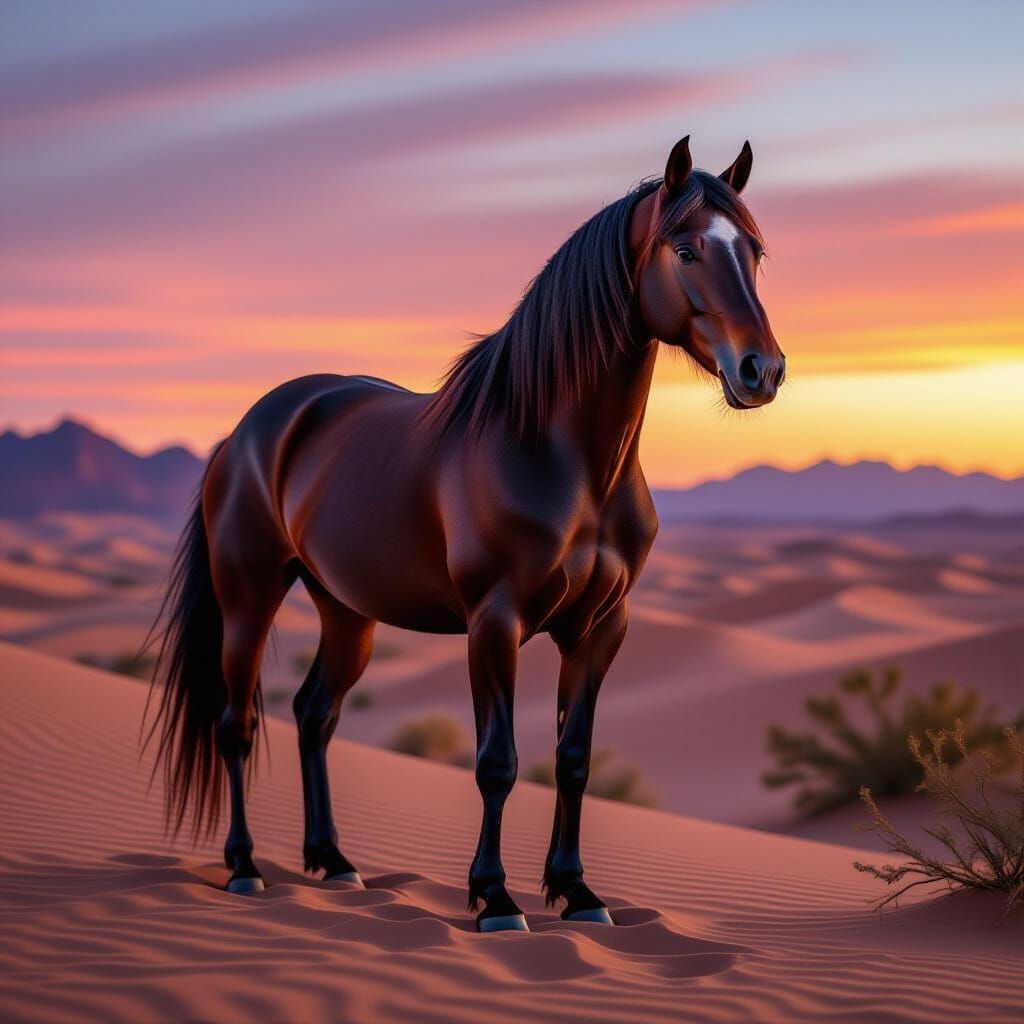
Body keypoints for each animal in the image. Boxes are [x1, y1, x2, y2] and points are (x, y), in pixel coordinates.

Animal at [148, 135, 785, 932]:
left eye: (755, 252)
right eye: (688, 248)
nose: (762, 371)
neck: (562, 457)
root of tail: (247, 432)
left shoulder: (602, 628)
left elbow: (573, 759)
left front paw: (577, 893)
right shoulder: (494, 623)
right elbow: (497, 762)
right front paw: (496, 899)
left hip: (346, 611)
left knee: (314, 714)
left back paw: (335, 862)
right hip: (249, 599)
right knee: (236, 723)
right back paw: (243, 868)